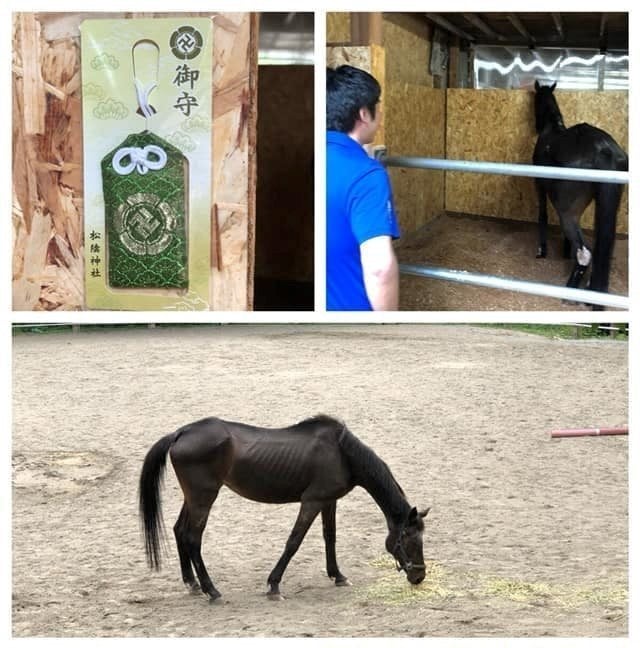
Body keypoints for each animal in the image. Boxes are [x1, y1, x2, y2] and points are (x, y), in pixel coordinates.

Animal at [139, 414, 430, 601]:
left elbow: (330, 537)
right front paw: (274, 585)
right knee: (192, 538)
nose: (419, 576)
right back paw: (212, 591)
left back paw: (192, 584)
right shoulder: (312, 502)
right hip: (203, 499)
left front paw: (337, 575)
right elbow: (294, 542)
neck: (342, 453)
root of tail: (181, 433)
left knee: (179, 531)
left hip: (194, 499)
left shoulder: (329, 501)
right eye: (409, 540)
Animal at [532, 80, 628, 308]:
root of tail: (603, 149)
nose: (534, 126)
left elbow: (542, 215)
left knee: (585, 252)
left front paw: (541, 251)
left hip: (568, 213)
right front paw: (565, 252)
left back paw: (571, 293)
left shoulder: (539, 185)